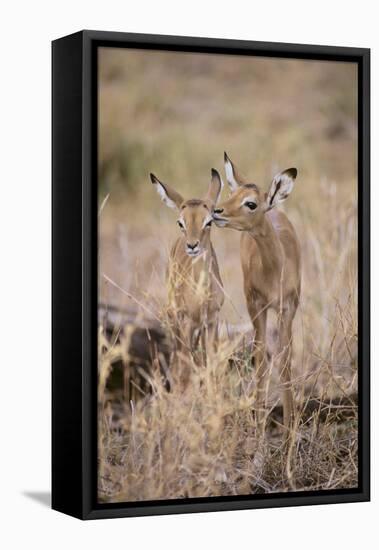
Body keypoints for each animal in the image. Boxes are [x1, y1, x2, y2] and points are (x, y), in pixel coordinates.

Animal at [150, 170, 224, 380]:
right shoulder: (187, 322)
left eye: (209, 221)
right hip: (175, 318)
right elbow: (183, 368)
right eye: (180, 222)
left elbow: (211, 365)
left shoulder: (212, 321)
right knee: (178, 359)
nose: (192, 245)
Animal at [215, 154, 302, 444]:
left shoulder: (287, 309)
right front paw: (261, 431)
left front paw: (289, 440)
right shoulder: (257, 307)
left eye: (251, 203)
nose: (217, 212)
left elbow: (285, 363)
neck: (275, 270)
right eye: (232, 193)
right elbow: (262, 360)